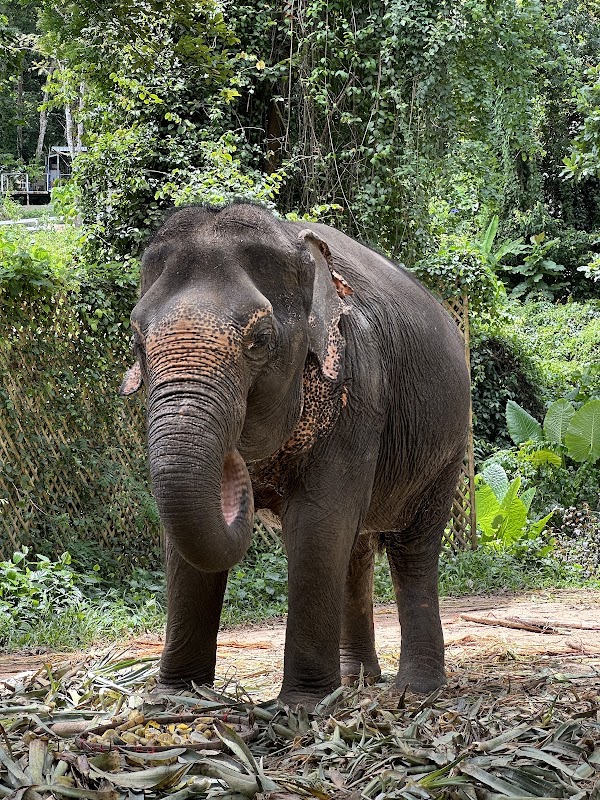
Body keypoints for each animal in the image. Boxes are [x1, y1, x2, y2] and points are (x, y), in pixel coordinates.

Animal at [120, 201, 471, 709]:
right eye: (136, 343)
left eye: (260, 340)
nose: (237, 471)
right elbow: (181, 543)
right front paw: (174, 700)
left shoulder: (358, 388)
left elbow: (316, 522)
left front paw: (302, 706)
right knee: (356, 549)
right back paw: (356, 681)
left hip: (447, 447)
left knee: (413, 548)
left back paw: (414, 691)